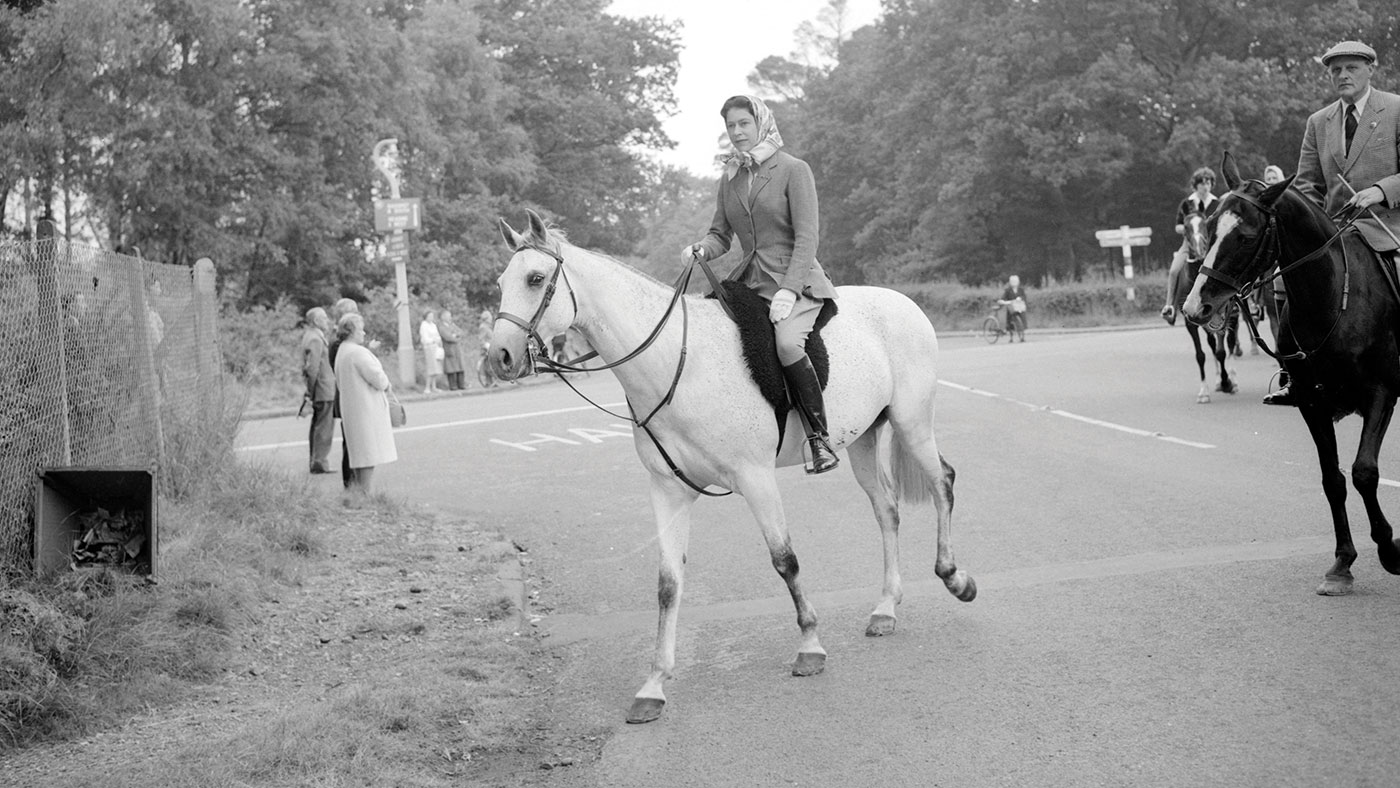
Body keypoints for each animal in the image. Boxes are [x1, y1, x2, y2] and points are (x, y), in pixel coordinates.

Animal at [490, 208, 974, 722]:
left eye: (535, 278)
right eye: (501, 282)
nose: (499, 357)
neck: (680, 364)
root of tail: (903, 302)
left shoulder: (755, 478)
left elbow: (785, 560)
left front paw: (810, 645)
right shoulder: (668, 490)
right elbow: (668, 584)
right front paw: (654, 684)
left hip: (912, 423)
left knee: (942, 482)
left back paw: (955, 577)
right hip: (863, 438)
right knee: (887, 510)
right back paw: (886, 607)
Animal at [1176, 207, 1243, 403]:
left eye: (1204, 224)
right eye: (1185, 227)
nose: (1200, 250)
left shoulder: (1223, 319)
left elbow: (1222, 352)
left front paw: (1228, 382)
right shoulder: (1191, 323)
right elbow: (1201, 355)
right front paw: (1204, 391)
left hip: (1232, 317)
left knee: (1229, 345)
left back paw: (1232, 380)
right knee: (1213, 345)